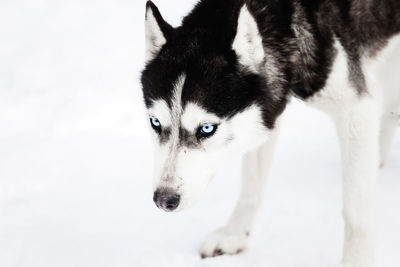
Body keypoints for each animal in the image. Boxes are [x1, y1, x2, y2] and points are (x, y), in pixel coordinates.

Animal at [141, 0, 400, 266]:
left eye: (206, 128)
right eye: (155, 122)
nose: (164, 200)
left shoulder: (354, 108)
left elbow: (355, 209)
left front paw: (358, 260)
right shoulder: (264, 113)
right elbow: (251, 188)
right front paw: (234, 235)